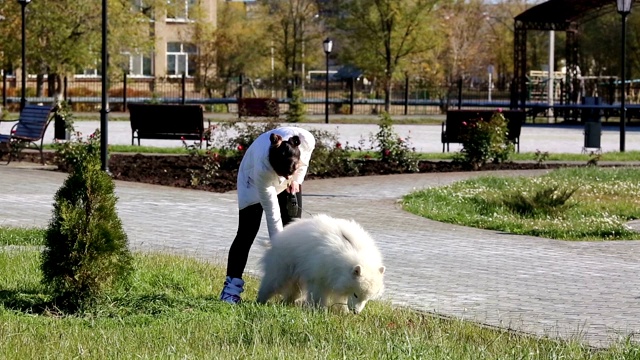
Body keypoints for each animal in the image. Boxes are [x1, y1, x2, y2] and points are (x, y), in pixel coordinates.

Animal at [256, 214, 384, 312]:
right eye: (356, 294)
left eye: (367, 298)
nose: (356, 312)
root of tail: (277, 238)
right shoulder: (319, 276)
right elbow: (318, 295)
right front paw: (320, 309)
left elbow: (342, 298)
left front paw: (344, 311)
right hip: (281, 269)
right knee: (271, 284)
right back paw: (260, 300)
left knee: (293, 290)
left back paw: (288, 302)